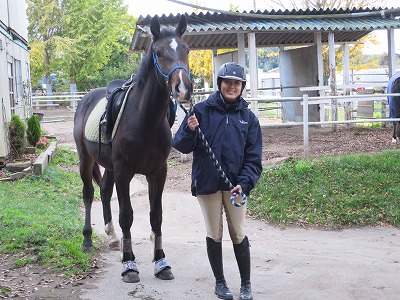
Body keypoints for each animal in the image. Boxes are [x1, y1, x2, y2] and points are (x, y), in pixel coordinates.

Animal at [73, 15, 192, 282]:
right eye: (158, 52)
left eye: (186, 49)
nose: (183, 89)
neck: (144, 118)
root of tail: (86, 99)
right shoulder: (125, 171)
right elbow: (127, 215)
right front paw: (129, 264)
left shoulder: (158, 172)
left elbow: (156, 216)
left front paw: (161, 262)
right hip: (86, 159)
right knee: (89, 193)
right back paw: (87, 241)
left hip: (109, 166)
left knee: (105, 191)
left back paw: (112, 236)